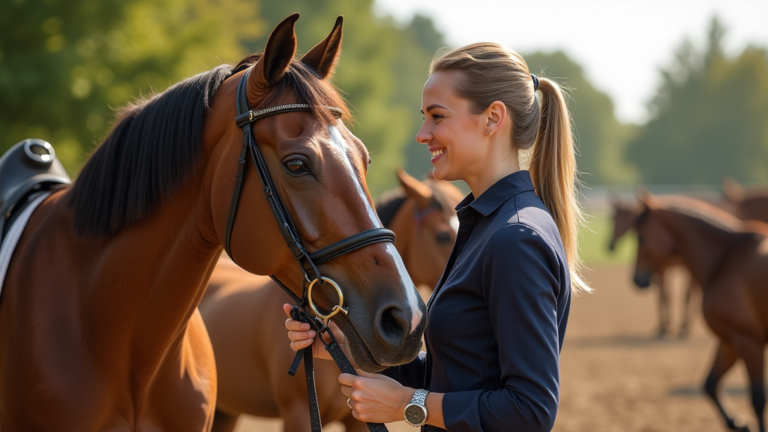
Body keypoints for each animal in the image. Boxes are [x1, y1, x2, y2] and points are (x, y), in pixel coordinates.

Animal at [632, 192, 768, 432]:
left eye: (641, 238)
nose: (636, 279)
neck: (726, 259)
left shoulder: (749, 341)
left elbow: (758, 399)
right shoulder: (729, 341)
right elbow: (709, 385)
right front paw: (737, 423)